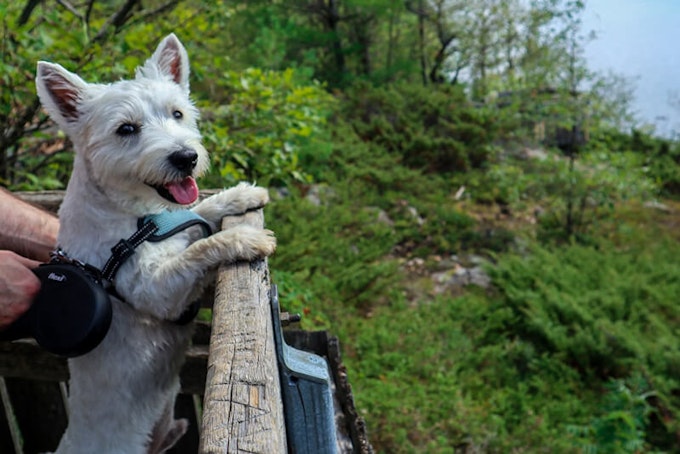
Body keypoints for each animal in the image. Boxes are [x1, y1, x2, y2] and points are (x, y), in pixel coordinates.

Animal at [36, 33, 276, 452]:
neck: (136, 217)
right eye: (126, 129)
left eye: (177, 113)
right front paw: (243, 236)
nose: (186, 157)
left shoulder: (177, 224)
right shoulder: (155, 290)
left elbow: (201, 211)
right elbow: (198, 251)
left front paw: (241, 195)